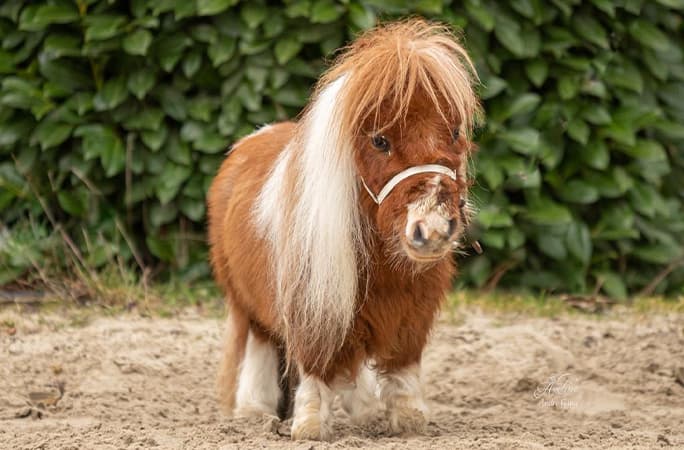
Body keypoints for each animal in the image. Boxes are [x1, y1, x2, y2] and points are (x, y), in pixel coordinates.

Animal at [207, 18, 481, 440]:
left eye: (453, 133)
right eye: (380, 140)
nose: (432, 229)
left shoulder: (413, 310)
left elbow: (401, 366)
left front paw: (408, 419)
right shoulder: (313, 303)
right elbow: (315, 366)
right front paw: (309, 425)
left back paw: (363, 411)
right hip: (245, 301)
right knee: (261, 344)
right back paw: (255, 410)